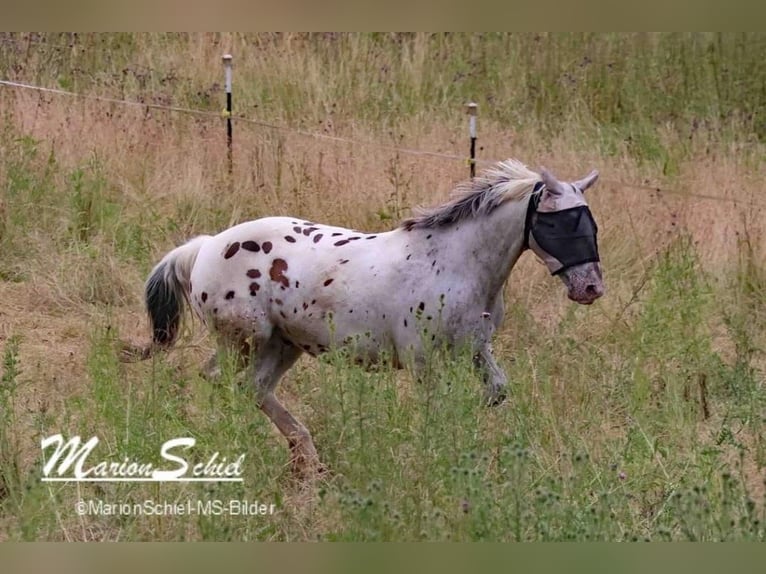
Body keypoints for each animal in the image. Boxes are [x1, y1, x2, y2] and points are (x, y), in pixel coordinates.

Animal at [131, 159, 604, 477]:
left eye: (591, 224)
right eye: (560, 224)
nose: (590, 288)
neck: (455, 263)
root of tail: (205, 246)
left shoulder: (475, 347)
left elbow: (496, 392)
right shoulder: (422, 360)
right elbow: (436, 409)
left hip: (282, 344)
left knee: (254, 389)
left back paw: (309, 461)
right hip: (243, 339)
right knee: (220, 380)